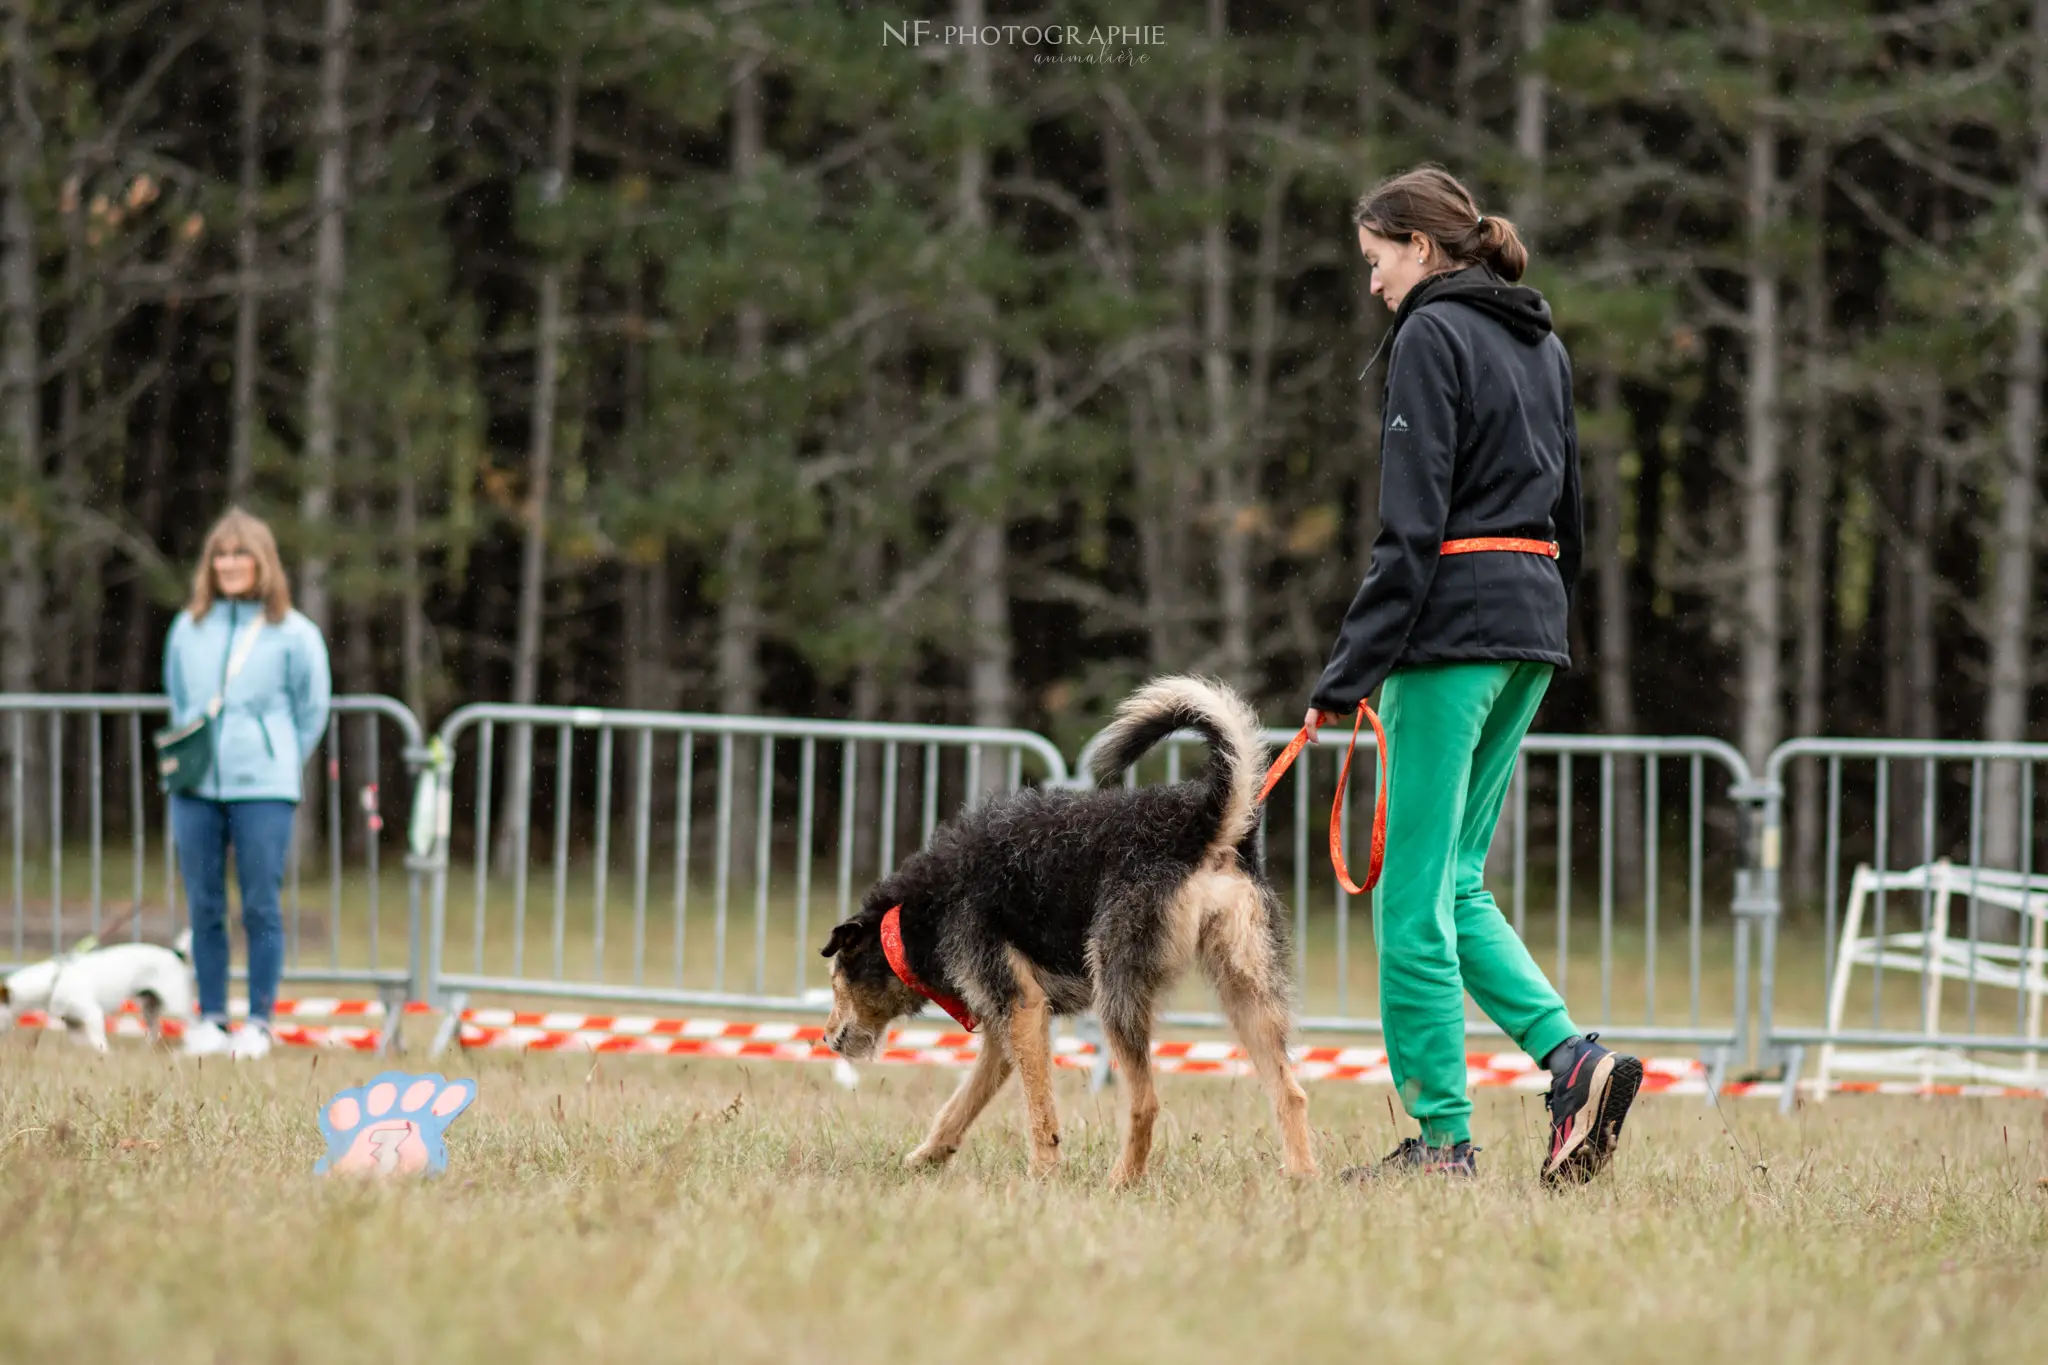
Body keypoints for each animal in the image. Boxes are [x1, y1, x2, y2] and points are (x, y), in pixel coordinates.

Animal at [1, 933, 195, 1055]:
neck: (54, 980)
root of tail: (175, 954)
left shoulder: (92, 1014)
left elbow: (98, 1041)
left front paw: (106, 1054)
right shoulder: (73, 1024)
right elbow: (84, 1042)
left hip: (175, 1005)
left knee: (191, 1020)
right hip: (150, 1007)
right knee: (155, 1030)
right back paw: (145, 1050)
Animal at [819, 679, 1310, 1186]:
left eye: (836, 981)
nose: (826, 1039)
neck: (920, 911)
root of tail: (1201, 823)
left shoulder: (1022, 1008)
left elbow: (1039, 1109)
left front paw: (1043, 1173)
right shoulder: (1003, 1030)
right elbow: (962, 1103)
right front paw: (927, 1157)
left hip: (1118, 994)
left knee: (1146, 1103)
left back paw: (1121, 1181)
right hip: (1247, 990)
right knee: (1290, 1092)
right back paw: (1300, 1177)